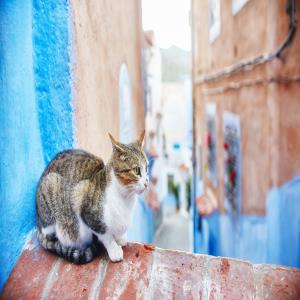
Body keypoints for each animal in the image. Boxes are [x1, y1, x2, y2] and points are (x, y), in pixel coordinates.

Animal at [36, 132, 149, 264]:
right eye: (136, 170)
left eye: (147, 168)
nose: (146, 183)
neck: (125, 198)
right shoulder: (82, 202)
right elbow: (105, 235)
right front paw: (114, 249)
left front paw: (120, 238)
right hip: (51, 186)